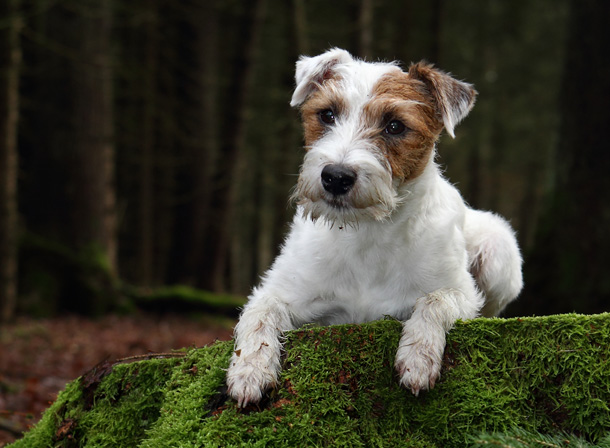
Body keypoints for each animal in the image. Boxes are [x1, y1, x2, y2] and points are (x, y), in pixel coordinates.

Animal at [226, 48, 520, 406]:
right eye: (327, 114)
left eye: (395, 126)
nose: (336, 177)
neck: (366, 232)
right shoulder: (282, 292)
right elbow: (259, 314)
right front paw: (250, 369)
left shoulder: (461, 292)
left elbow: (434, 301)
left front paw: (418, 356)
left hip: (498, 252)